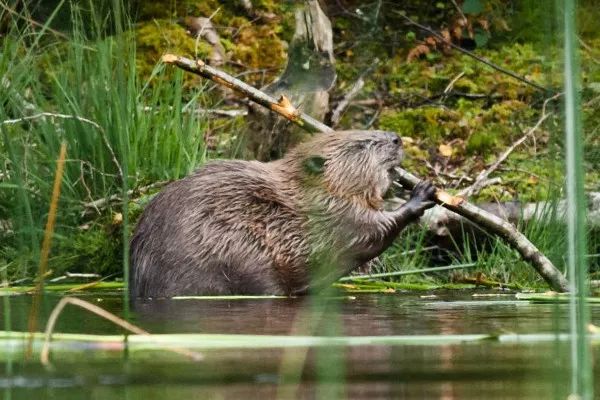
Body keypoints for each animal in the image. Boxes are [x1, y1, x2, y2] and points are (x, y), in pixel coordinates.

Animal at [130, 130, 436, 298]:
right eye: (362, 144)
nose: (396, 138)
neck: (305, 191)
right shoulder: (333, 212)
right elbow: (370, 232)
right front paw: (423, 192)